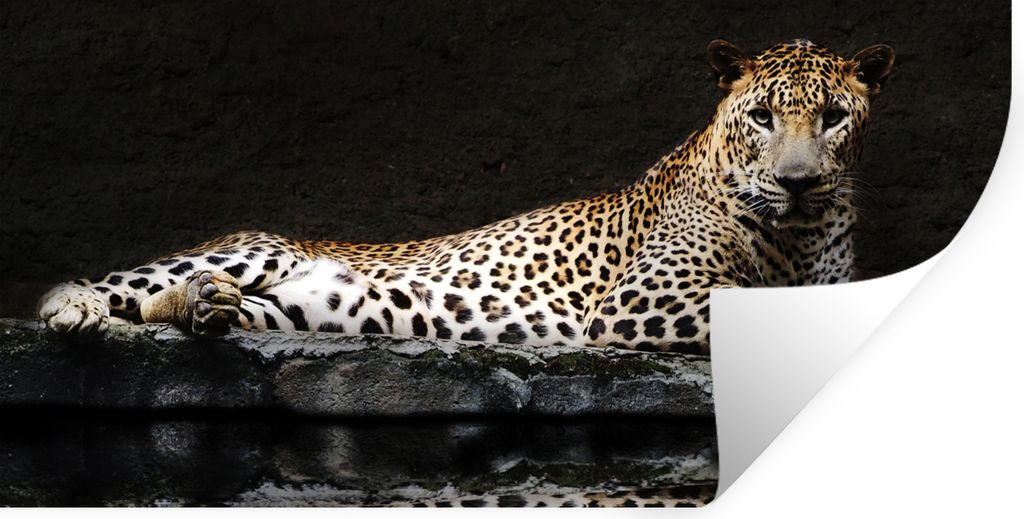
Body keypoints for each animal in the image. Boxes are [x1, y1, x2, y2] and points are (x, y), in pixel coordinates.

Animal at [38, 39, 894, 355]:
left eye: (832, 117)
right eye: (762, 116)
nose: (798, 181)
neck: (797, 235)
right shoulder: (643, 303)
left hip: (308, 306)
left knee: (199, 305)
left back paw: (203, 308)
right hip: (256, 247)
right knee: (112, 286)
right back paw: (78, 308)